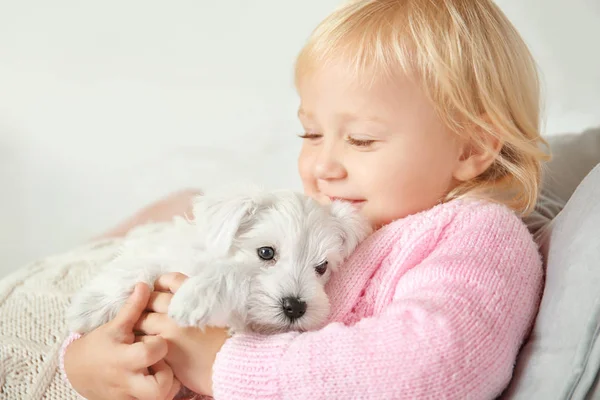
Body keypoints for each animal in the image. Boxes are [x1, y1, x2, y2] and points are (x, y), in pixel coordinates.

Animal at [68, 187, 372, 334]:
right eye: (266, 253)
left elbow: (232, 272)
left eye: (322, 267)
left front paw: (195, 297)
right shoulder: (172, 250)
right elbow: (143, 265)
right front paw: (89, 307)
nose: (295, 307)